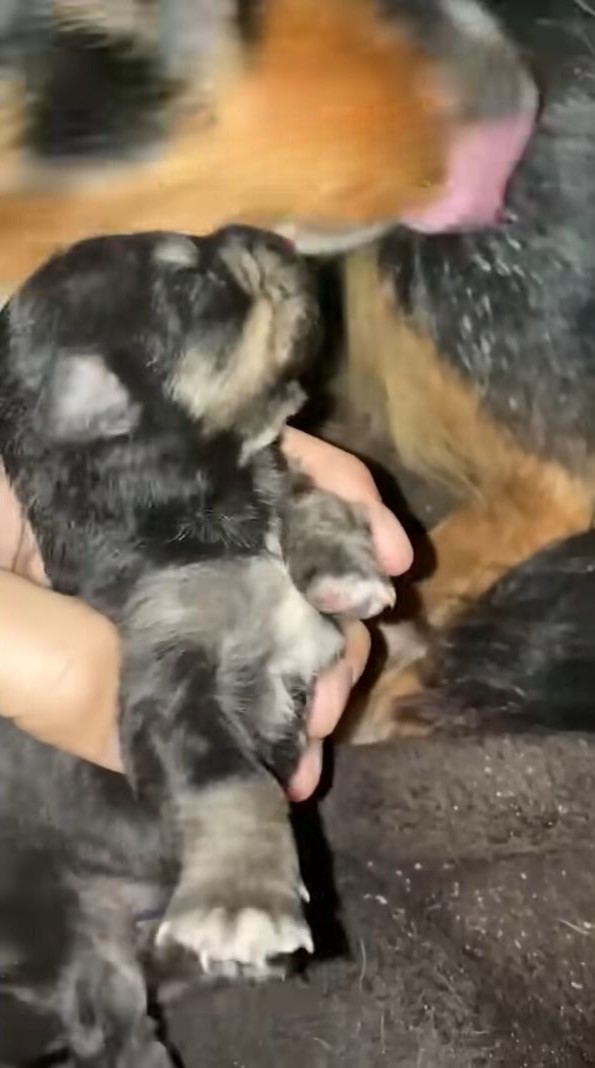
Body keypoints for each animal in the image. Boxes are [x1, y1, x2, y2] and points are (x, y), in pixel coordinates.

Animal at [0, 221, 393, 1063]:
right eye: (190, 284)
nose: (267, 234)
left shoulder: (269, 484)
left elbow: (303, 487)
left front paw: (343, 568)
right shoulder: (170, 672)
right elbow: (231, 779)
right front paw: (241, 905)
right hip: (65, 919)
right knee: (108, 1021)